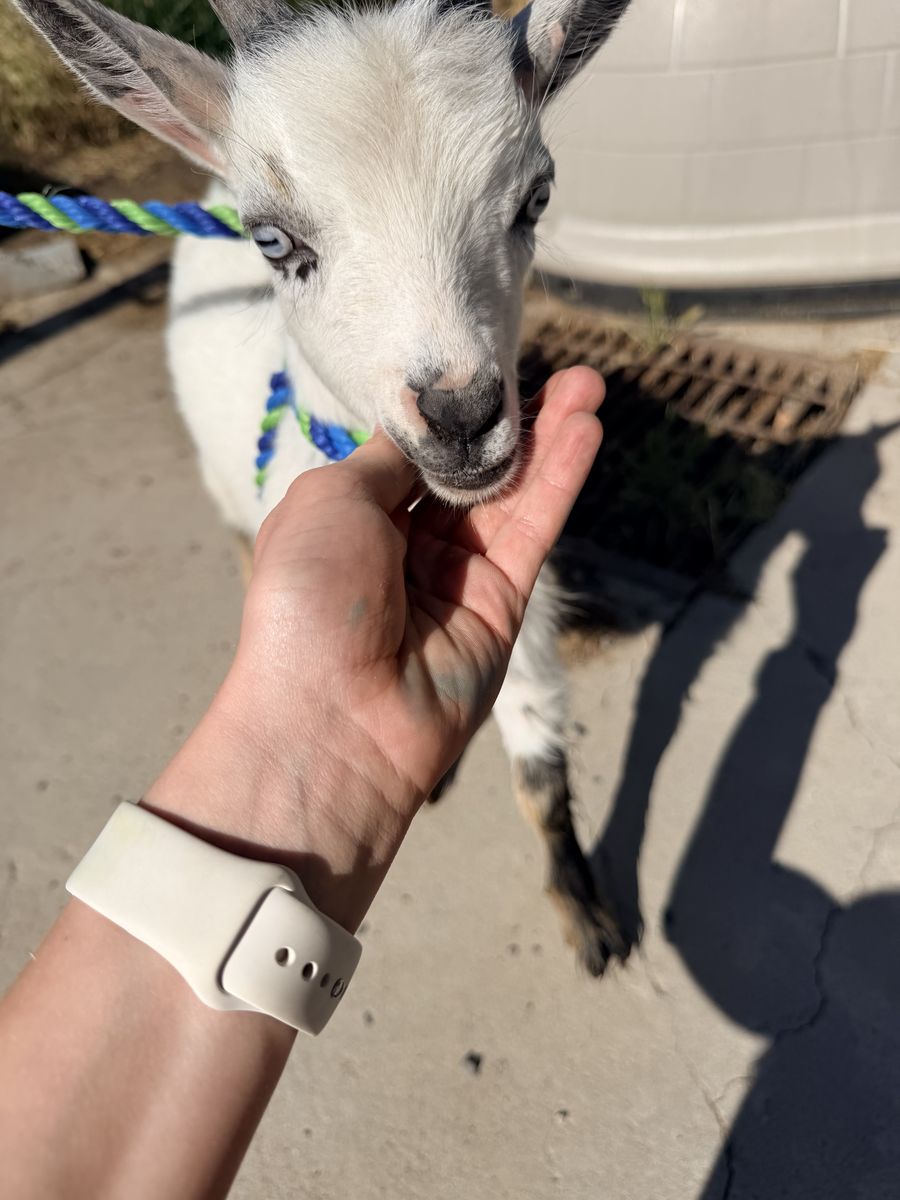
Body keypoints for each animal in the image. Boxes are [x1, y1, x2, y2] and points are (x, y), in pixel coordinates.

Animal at [14, 0, 632, 975]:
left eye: (536, 197)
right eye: (276, 240)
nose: (462, 415)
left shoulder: (523, 603)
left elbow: (539, 756)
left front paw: (588, 916)